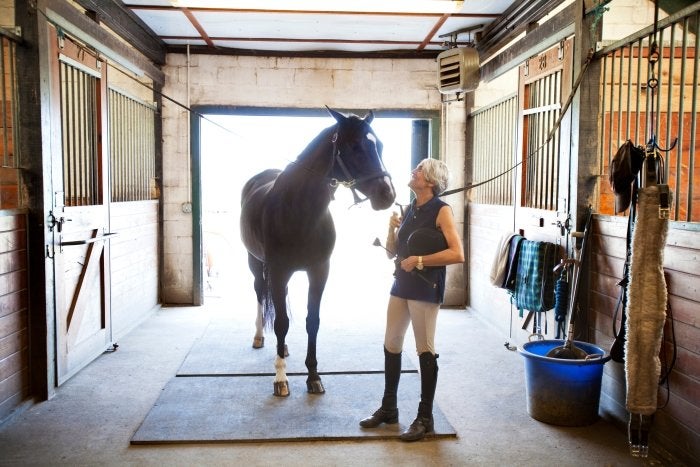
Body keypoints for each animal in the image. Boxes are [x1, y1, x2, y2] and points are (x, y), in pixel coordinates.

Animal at [239, 108, 396, 397]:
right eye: (355, 146)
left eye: (379, 145)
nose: (387, 194)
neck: (300, 211)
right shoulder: (278, 271)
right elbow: (281, 322)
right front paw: (280, 379)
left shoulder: (319, 270)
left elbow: (312, 321)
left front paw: (313, 376)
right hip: (256, 263)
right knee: (259, 294)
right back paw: (259, 336)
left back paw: (283, 347)